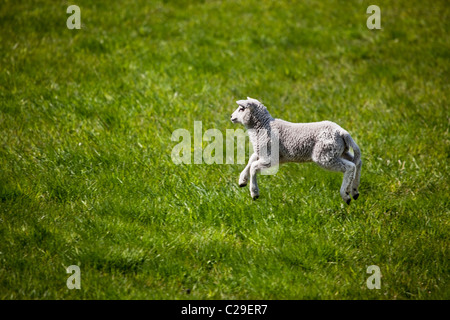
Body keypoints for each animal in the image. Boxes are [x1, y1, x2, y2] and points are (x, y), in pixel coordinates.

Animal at [232, 96, 362, 205]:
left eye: (241, 109)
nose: (231, 117)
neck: (262, 126)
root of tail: (342, 132)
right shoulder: (265, 153)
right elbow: (251, 159)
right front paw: (242, 180)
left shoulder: (270, 156)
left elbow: (253, 166)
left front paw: (254, 193)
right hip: (338, 151)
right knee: (357, 162)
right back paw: (354, 191)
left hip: (324, 155)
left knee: (350, 166)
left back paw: (345, 195)